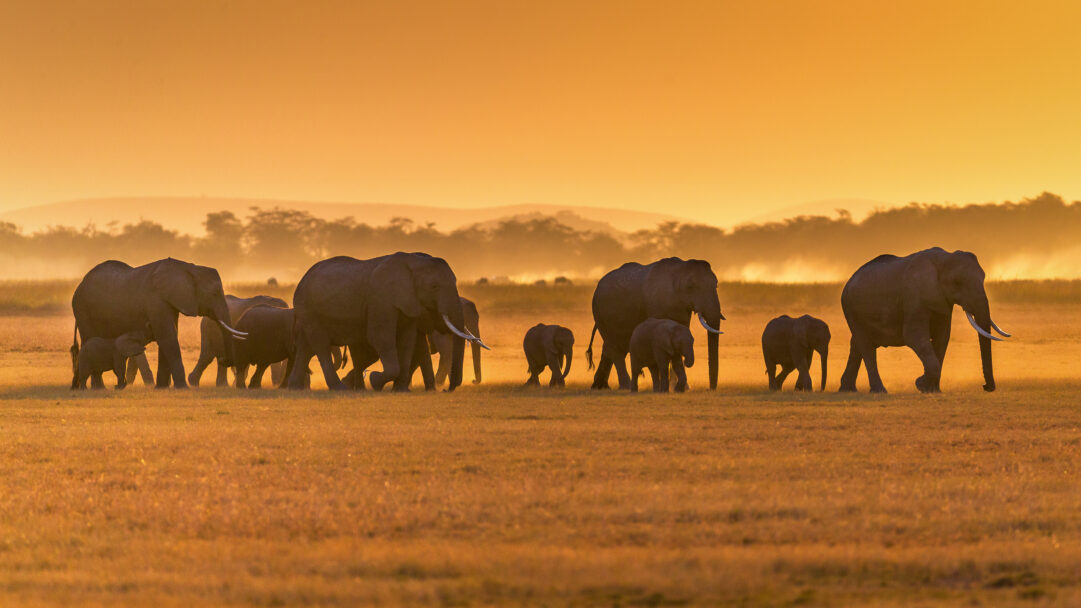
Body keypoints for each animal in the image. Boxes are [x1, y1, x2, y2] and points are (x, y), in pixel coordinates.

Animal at [71, 258, 247, 388]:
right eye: (214, 293)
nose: (224, 359)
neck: (188, 268)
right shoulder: (156, 301)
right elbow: (167, 336)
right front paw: (182, 388)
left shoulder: (170, 302)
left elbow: (169, 335)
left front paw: (162, 388)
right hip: (82, 309)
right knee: (89, 339)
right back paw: (98, 388)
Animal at [288, 252, 488, 391]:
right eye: (434, 286)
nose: (446, 390)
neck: (413, 262)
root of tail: (303, 278)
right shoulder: (381, 300)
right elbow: (381, 338)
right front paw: (376, 381)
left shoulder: (408, 303)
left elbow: (407, 341)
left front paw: (400, 390)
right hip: (308, 308)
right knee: (320, 345)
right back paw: (339, 388)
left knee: (306, 347)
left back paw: (295, 387)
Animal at [586, 258, 724, 390]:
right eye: (690, 286)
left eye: (716, 285)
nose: (710, 389)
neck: (680, 269)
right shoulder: (657, 303)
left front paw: (680, 387)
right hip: (599, 312)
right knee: (615, 348)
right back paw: (625, 387)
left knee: (611, 347)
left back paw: (599, 387)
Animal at [838, 247, 1010, 394]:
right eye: (957, 282)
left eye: (984, 278)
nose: (985, 387)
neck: (944, 259)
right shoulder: (914, 298)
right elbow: (914, 337)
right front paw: (920, 384)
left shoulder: (942, 303)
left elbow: (942, 338)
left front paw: (932, 390)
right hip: (851, 308)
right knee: (866, 346)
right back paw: (879, 391)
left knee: (857, 344)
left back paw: (847, 390)